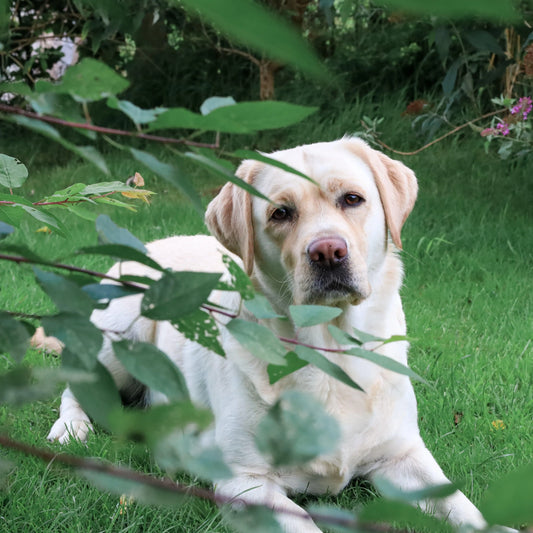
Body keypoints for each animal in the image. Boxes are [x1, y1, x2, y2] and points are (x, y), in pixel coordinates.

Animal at [48, 138, 486, 532]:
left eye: (352, 199)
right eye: (280, 213)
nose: (328, 252)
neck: (329, 355)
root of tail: (144, 246)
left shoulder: (403, 455)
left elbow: (468, 511)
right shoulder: (245, 480)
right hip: (121, 341)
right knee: (74, 387)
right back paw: (71, 429)